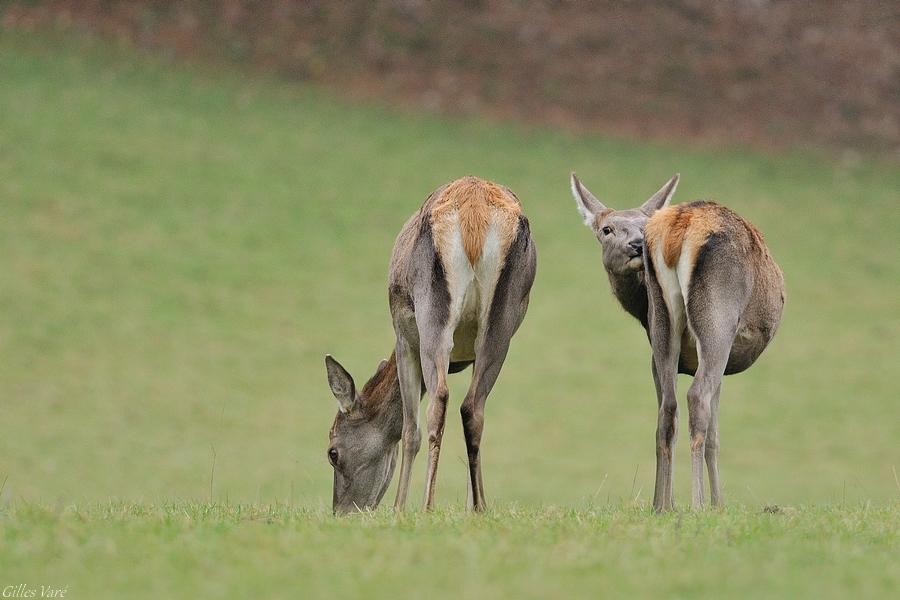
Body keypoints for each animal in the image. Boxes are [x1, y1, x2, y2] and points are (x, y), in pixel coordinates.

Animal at [324, 176, 536, 512]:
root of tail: (474, 214)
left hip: (431, 311)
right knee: (473, 407)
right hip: (503, 321)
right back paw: (479, 507)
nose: (342, 513)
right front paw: (471, 505)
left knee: (439, 401)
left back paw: (426, 505)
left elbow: (409, 429)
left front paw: (399, 507)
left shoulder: (404, 336)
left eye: (333, 452)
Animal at [572, 173, 784, 510]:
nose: (636, 244)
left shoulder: (654, 355)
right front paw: (718, 505)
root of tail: (679, 227)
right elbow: (715, 435)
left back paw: (663, 507)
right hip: (717, 320)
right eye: (606, 229)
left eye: (641, 225)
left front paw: (663, 502)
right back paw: (698, 505)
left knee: (667, 409)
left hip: (663, 324)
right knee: (696, 398)